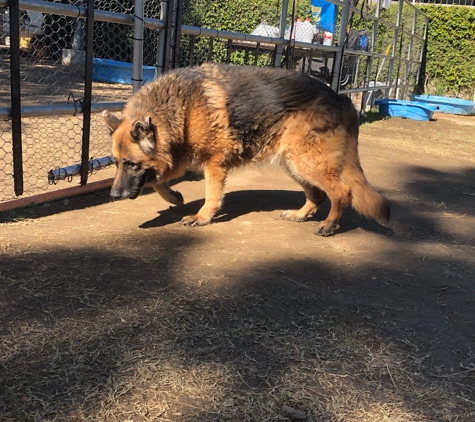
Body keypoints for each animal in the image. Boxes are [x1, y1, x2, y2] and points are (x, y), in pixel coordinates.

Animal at [103, 64, 390, 236]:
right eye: (116, 163)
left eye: (130, 164)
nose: (114, 196)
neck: (180, 109)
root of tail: (342, 99)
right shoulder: (177, 156)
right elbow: (157, 181)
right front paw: (174, 197)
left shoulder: (213, 163)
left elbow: (211, 196)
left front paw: (202, 217)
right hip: (293, 163)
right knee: (318, 195)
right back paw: (299, 215)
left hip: (306, 162)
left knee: (342, 191)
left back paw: (329, 225)